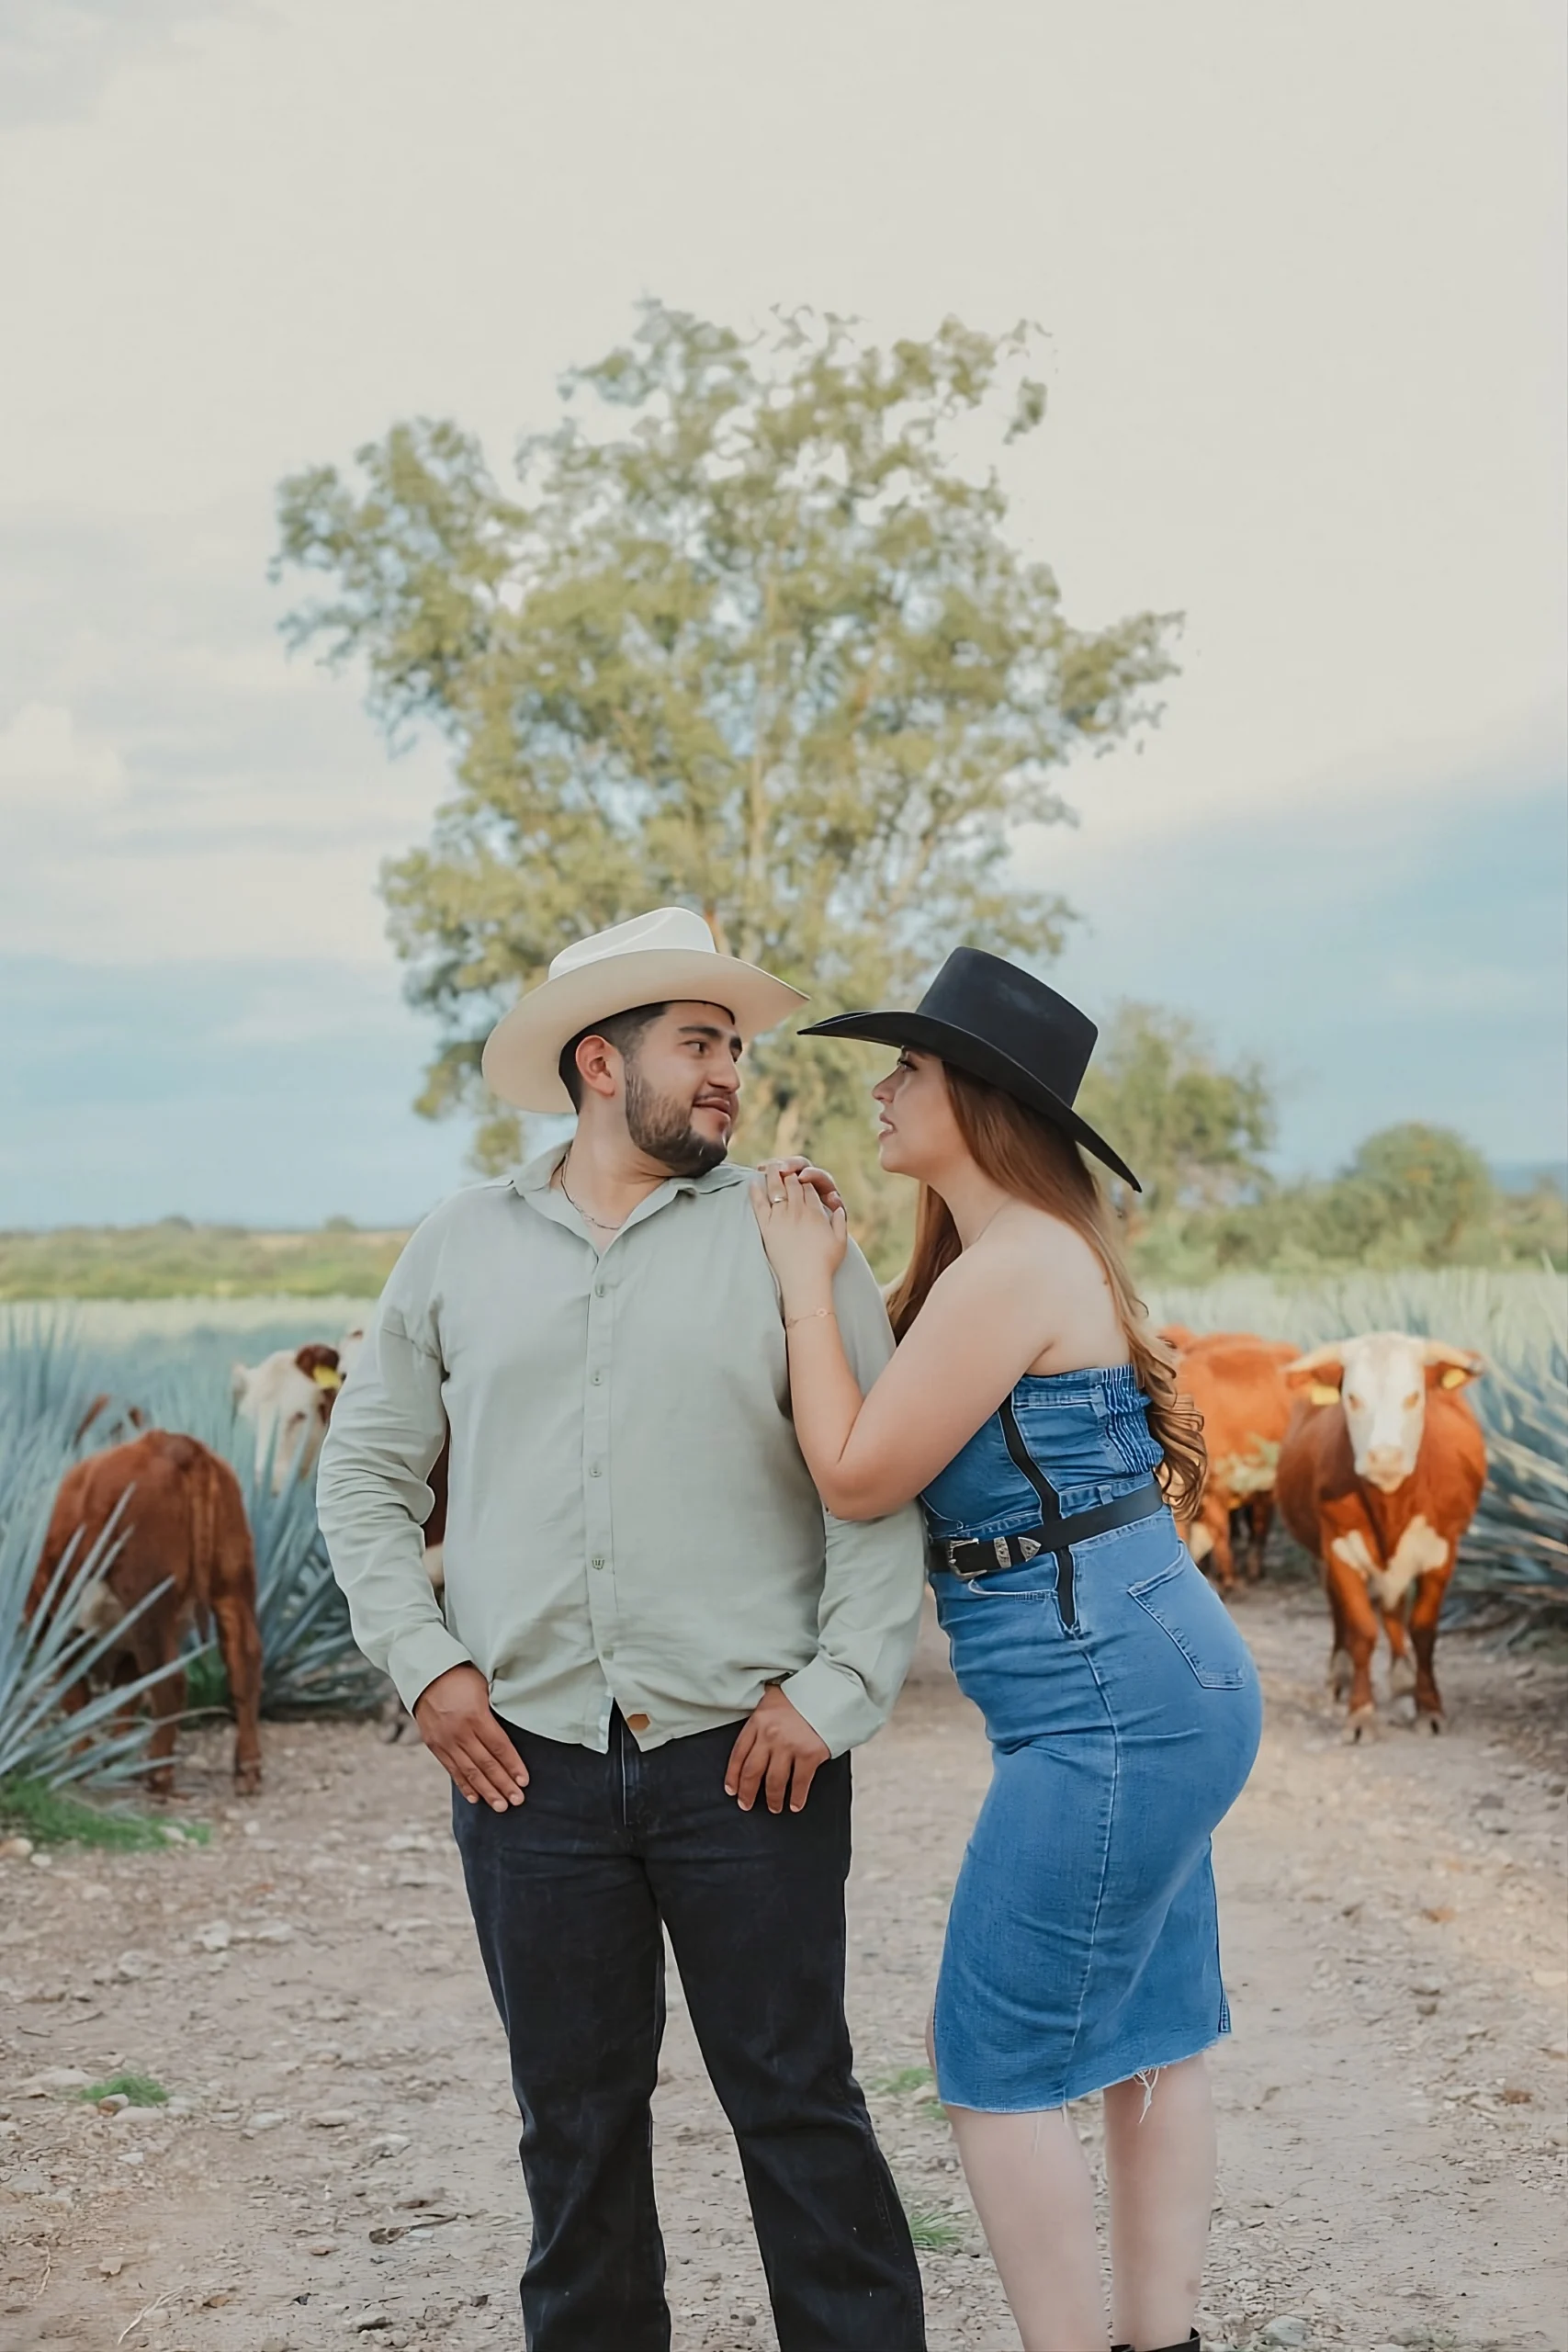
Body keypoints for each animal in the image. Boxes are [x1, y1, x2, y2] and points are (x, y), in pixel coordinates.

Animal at [31, 1431, 263, 1794]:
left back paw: (159, 1775)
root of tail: (175, 1444)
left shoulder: (55, 1627)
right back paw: (247, 1769)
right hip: (232, 1582)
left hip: (150, 1604)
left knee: (172, 1682)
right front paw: (114, 1759)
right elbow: (123, 1696)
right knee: (244, 1664)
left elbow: (75, 1695)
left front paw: (79, 1762)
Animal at [1275, 1333, 1486, 1739]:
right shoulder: (1339, 1549)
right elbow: (1362, 1630)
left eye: (1414, 1397)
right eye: (1352, 1398)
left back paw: (1403, 1684)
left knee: (1393, 1610)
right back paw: (1340, 1675)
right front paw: (1361, 1713)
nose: (1384, 1458)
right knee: (1340, 1607)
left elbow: (1423, 1630)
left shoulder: (1441, 1551)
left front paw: (1428, 1707)